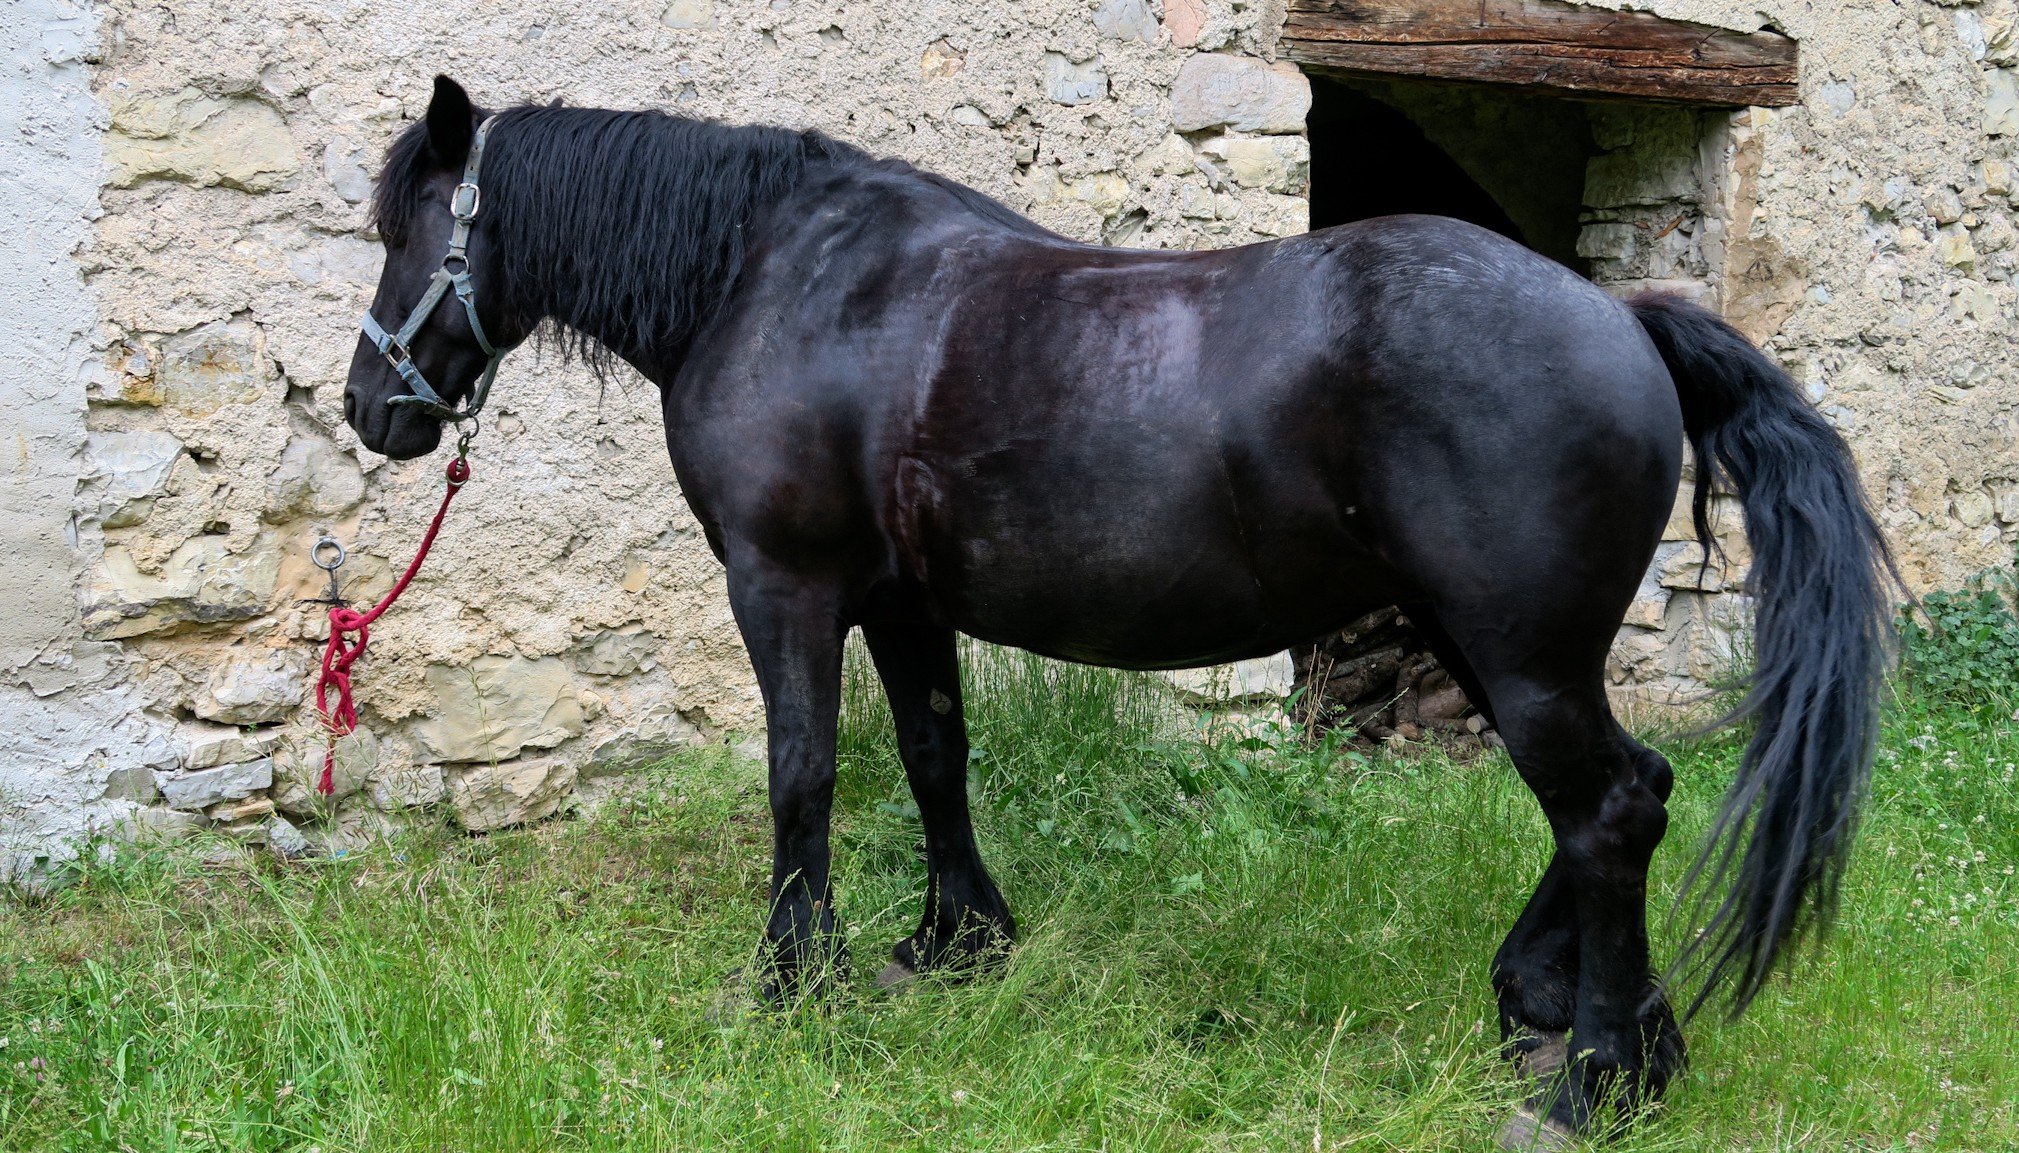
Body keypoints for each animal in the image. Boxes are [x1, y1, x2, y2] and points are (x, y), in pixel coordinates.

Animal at [343, 76, 1889, 1138]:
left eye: (407, 229)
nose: (370, 409)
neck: (780, 280)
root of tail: (1622, 316)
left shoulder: (784, 587)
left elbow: (802, 773)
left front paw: (793, 982)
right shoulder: (899, 602)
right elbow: (933, 755)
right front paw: (950, 944)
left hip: (1519, 653)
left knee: (1609, 812)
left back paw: (1593, 1083)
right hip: (1491, 642)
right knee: (1627, 794)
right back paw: (1566, 1015)